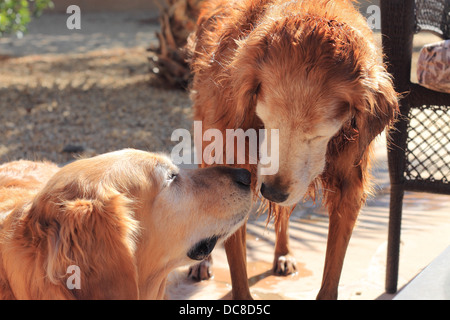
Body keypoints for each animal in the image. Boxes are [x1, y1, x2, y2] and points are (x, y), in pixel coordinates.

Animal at [188, 0, 400, 300]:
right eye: (267, 119)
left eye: (319, 134)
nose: (272, 192)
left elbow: (332, 275)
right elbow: (238, 273)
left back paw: (283, 252)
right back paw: (203, 262)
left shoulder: (349, 185)